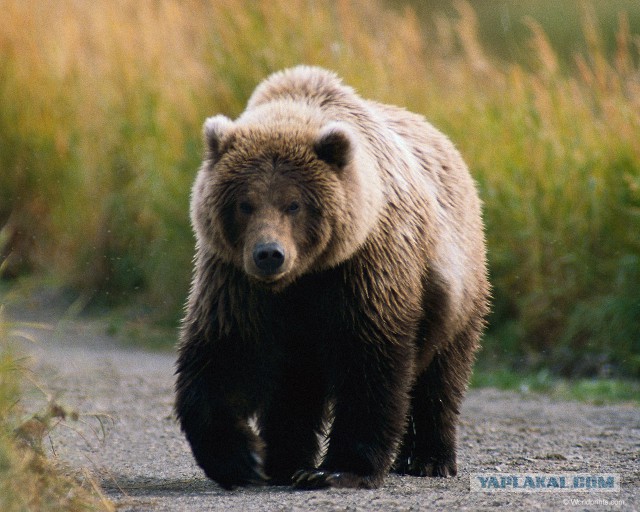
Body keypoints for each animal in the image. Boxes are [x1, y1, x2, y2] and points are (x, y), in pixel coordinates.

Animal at [172, 66, 488, 490]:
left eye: (294, 204)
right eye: (244, 204)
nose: (269, 254)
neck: (303, 277)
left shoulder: (363, 268)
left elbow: (368, 362)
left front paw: (340, 468)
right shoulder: (235, 280)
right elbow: (226, 354)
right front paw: (242, 458)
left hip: (456, 285)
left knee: (441, 374)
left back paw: (428, 458)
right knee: (294, 389)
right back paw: (285, 460)